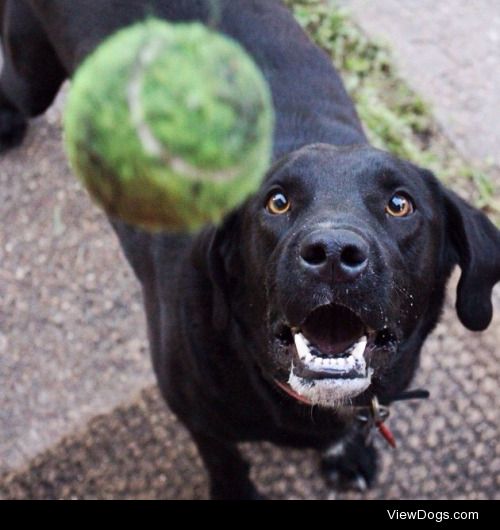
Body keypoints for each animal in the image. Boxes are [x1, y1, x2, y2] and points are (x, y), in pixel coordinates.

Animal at [1, 0, 498, 498]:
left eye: (400, 204)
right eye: (277, 202)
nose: (333, 254)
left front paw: (349, 453)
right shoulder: (198, 418)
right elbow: (226, 461)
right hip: (33, 78)